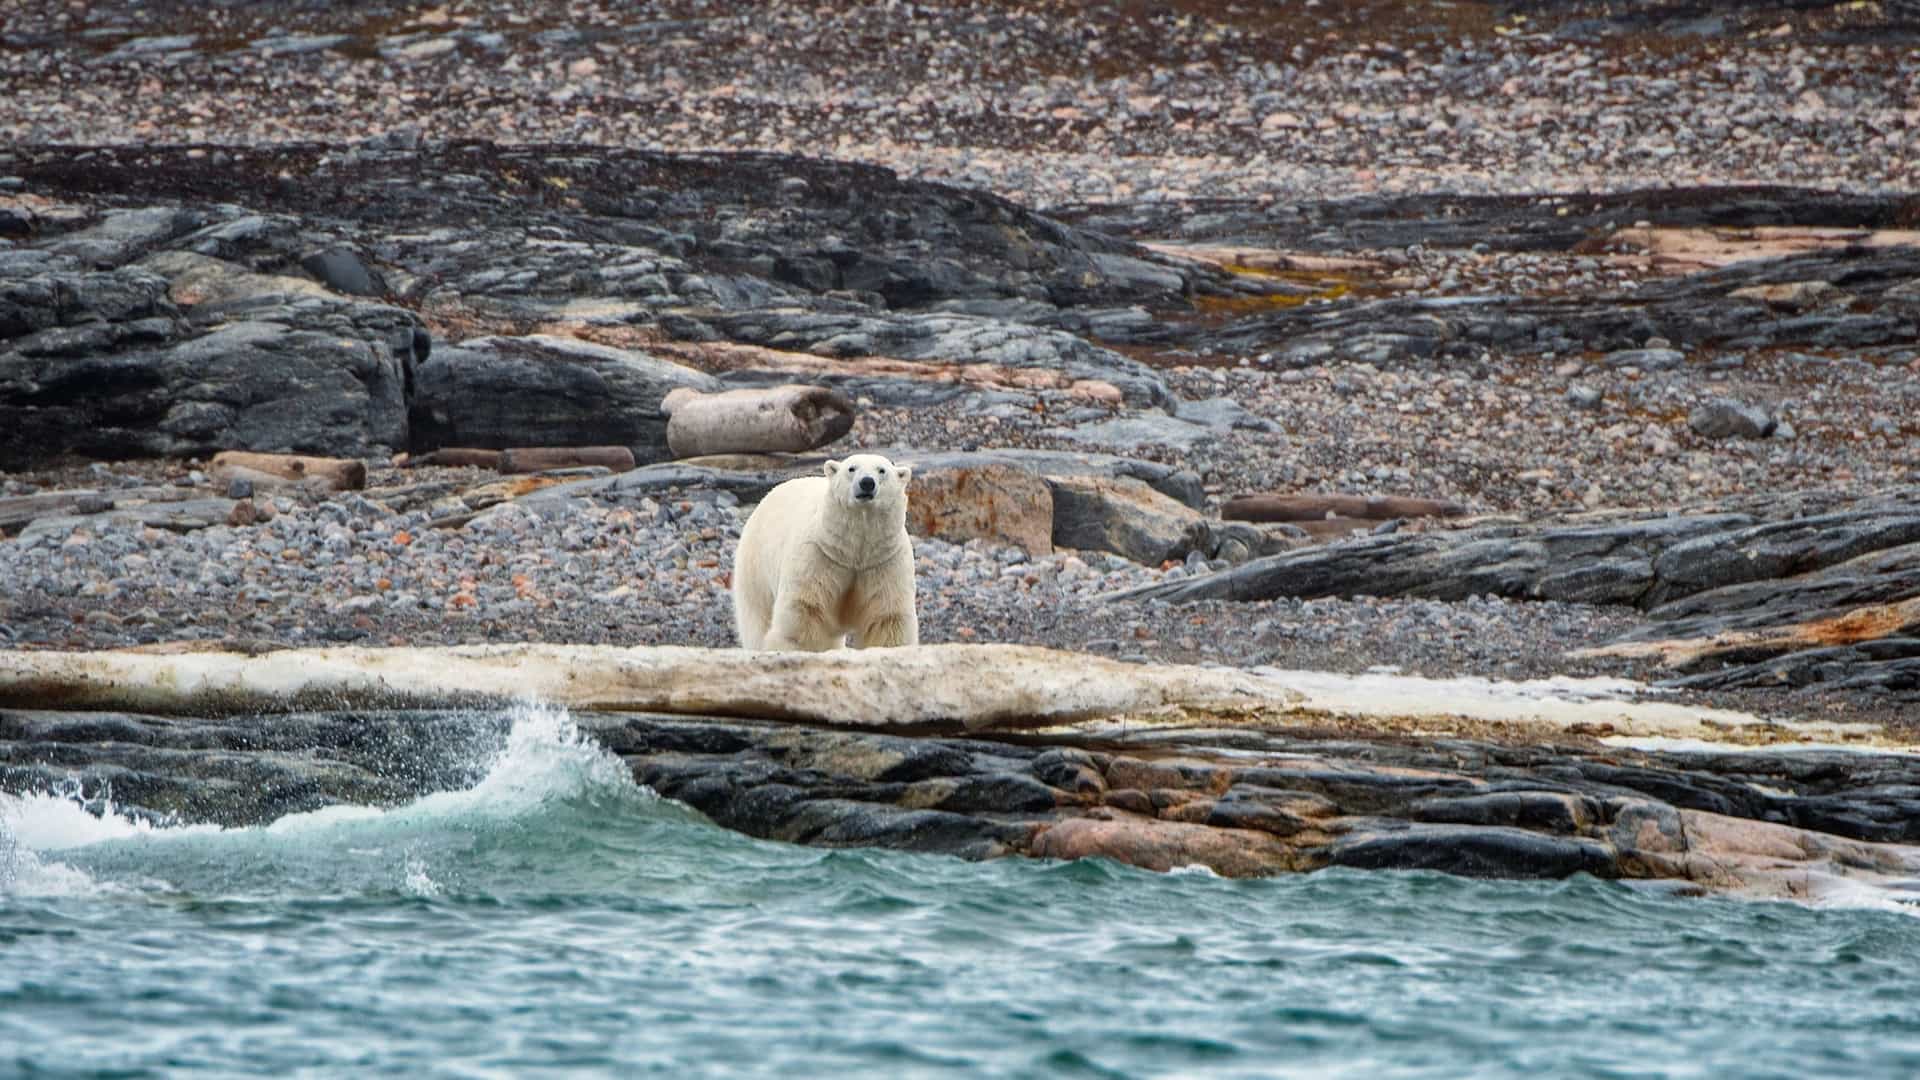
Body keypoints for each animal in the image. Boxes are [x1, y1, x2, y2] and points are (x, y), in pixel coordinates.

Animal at [730, 453, 918, 652]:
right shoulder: (819, 555)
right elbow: (806, 608)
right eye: (851, 468)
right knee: (757, 618)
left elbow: (886, 617)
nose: (867, 482)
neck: (853, 552)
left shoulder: (884, 561)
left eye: (882, 470)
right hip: (755, 568)